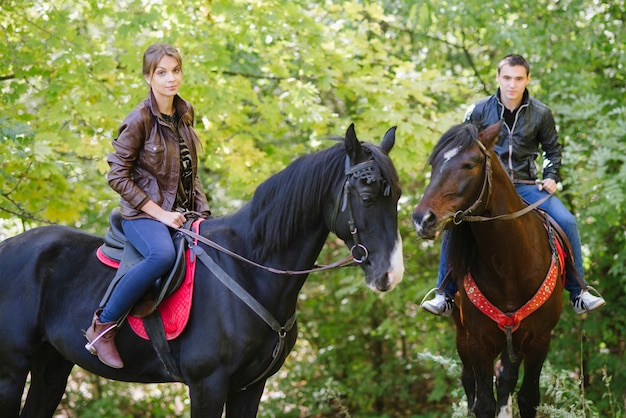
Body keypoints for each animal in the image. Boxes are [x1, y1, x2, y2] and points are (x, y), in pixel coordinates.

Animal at [0, 124, 404, 418]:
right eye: (366, 197)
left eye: (397, 197)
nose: (391, 274)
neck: (249, 269)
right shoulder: (207, 384)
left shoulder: (249, 388)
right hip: (12, 370)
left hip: (52, 366)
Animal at [412, 122, 564, 416]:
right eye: (434, 164)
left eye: (470, 164)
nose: (422, 219)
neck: (508, 265)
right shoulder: (477, 342)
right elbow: (482, 401)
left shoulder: (540, 340)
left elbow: (527, 396)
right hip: (463, 335)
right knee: (470, 380)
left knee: (506, 377)